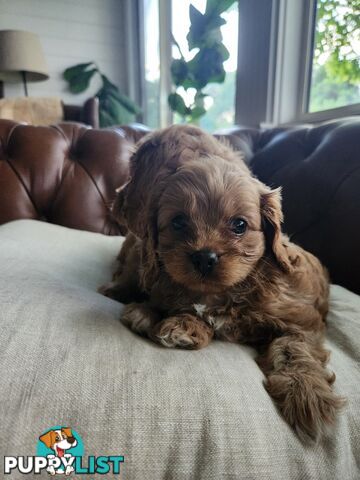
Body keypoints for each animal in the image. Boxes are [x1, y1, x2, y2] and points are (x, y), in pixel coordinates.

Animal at [100, 124, 344, 442]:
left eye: (239, 225)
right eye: (178, 222)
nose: (205, 257)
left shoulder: (302, 323)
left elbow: (294, 349)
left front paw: (306, 394)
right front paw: (183, 324)